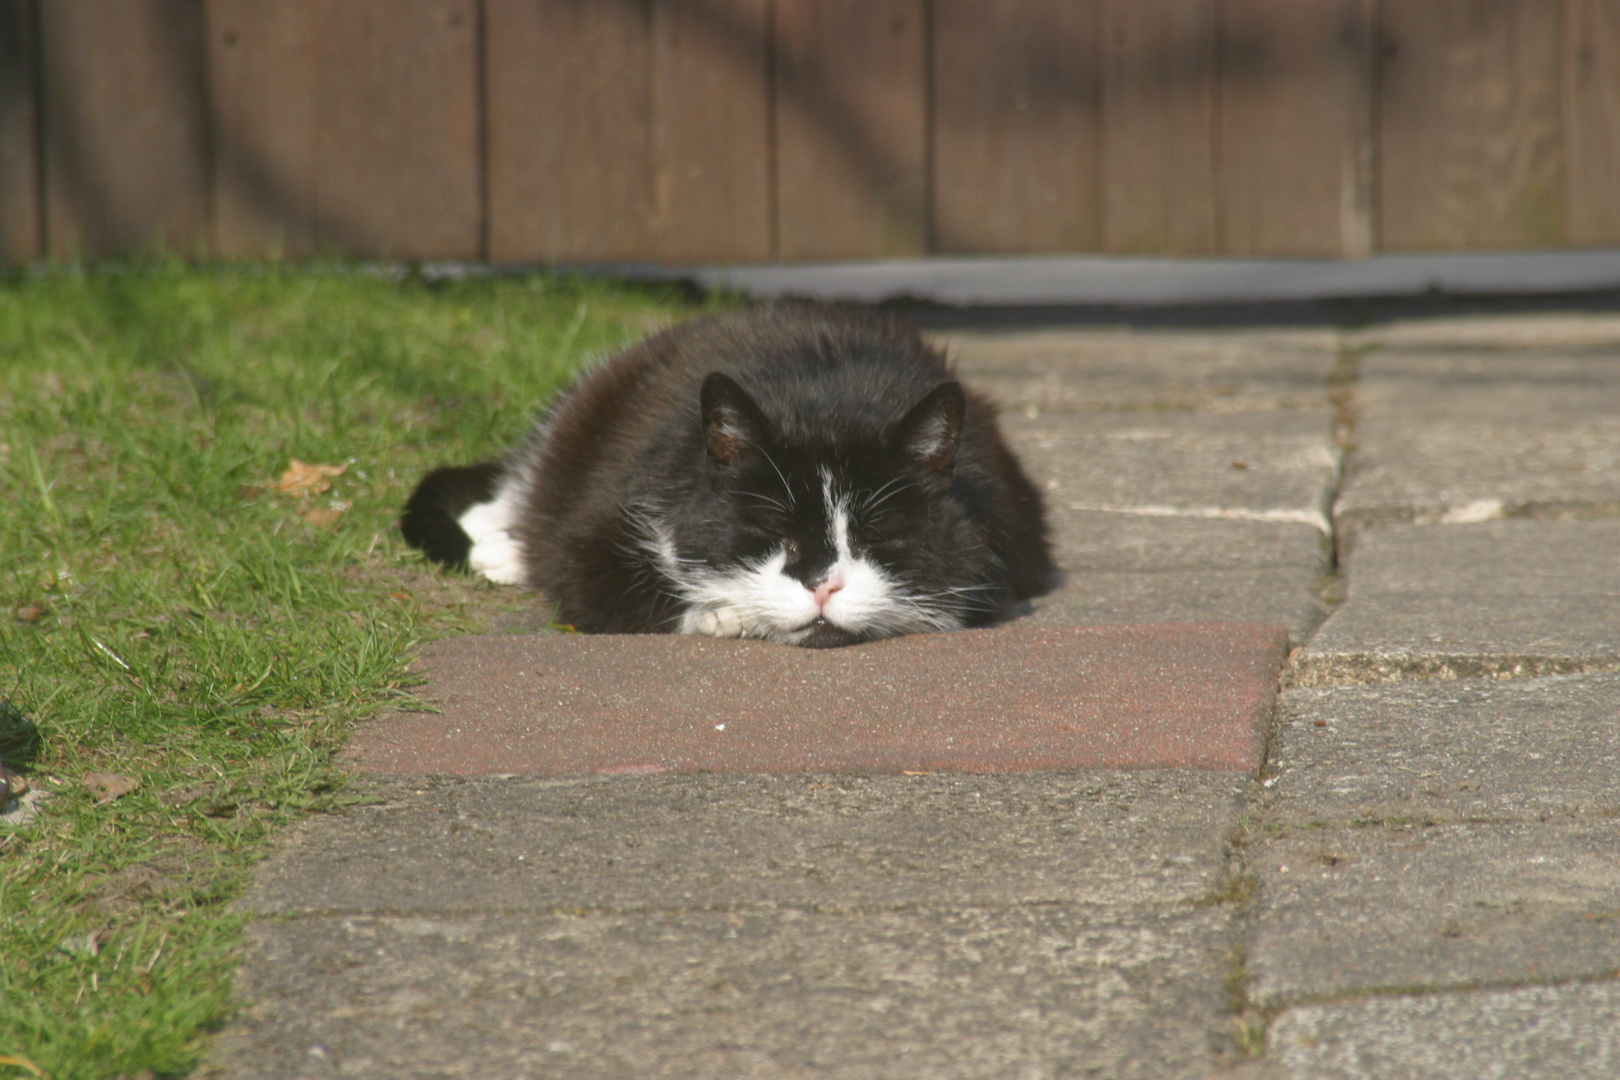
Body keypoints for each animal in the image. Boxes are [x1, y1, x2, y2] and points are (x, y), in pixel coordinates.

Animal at [400, 299, 1056, 647]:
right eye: (772, 529)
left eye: (877, 534)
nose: (822, 584)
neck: (828, 397)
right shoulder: (594, 534)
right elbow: (605, 587)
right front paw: (728, 612)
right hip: (576, 424)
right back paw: (501, 549)